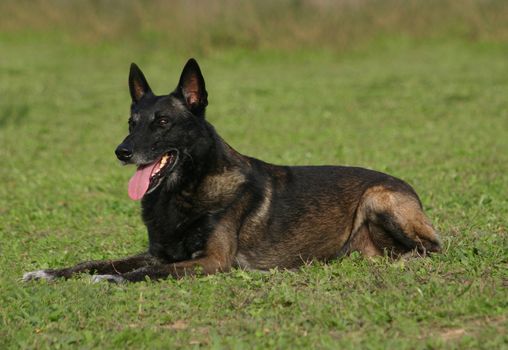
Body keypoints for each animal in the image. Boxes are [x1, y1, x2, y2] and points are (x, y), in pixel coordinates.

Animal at [22, 58, 440, 284]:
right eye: (131, 122)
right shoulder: (157, 253)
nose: (122, 152)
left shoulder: (211, 261)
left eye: (162, 122)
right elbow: (93, 261)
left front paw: (112, 279)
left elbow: (144, 273)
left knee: (432, 247)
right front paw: (48, 273)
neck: (186, 190)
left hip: (378, 198)